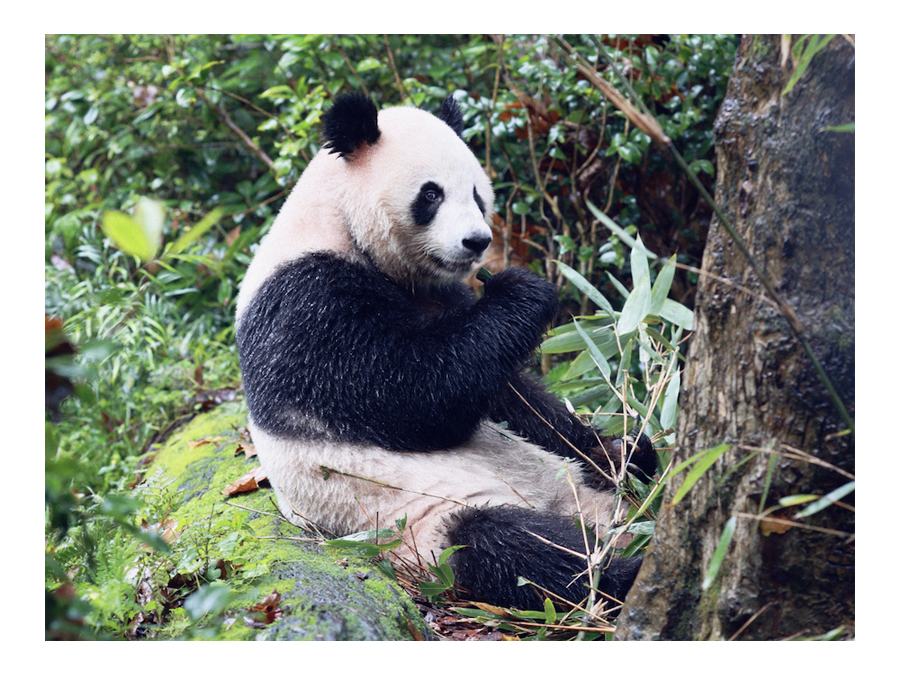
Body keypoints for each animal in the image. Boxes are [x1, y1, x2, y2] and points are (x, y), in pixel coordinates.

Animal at [235, 92, 655, 612]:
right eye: (430, 195)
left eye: (476, 194)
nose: (477, 242)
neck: (338, 223)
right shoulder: (304, 306)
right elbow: (411, 395)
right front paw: (525, 290)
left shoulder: (440, 295)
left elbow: (509, 393)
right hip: (427, 526)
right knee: (513, 546)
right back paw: (621, 572)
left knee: (591, 471)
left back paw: (625, 460)